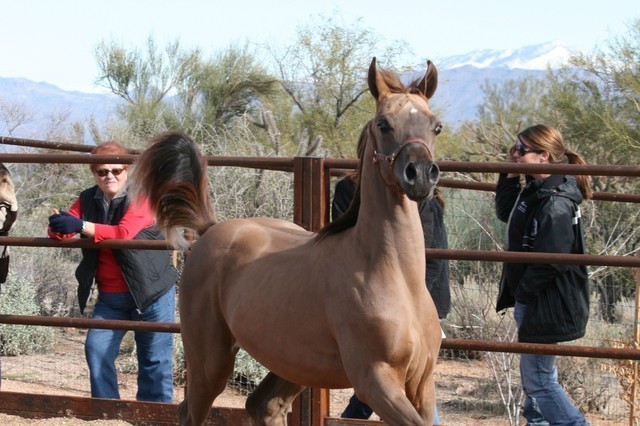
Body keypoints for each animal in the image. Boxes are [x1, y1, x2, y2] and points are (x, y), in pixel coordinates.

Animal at [132, 57, 443, 425]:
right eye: (384, 125)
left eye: (436, 126)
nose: (420, 174)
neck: (394, 277)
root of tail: (211, 229)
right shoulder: (375, 381)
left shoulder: (422, 384)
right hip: (210, 360)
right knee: (193, 411)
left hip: (293, 362)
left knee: (263, 405)